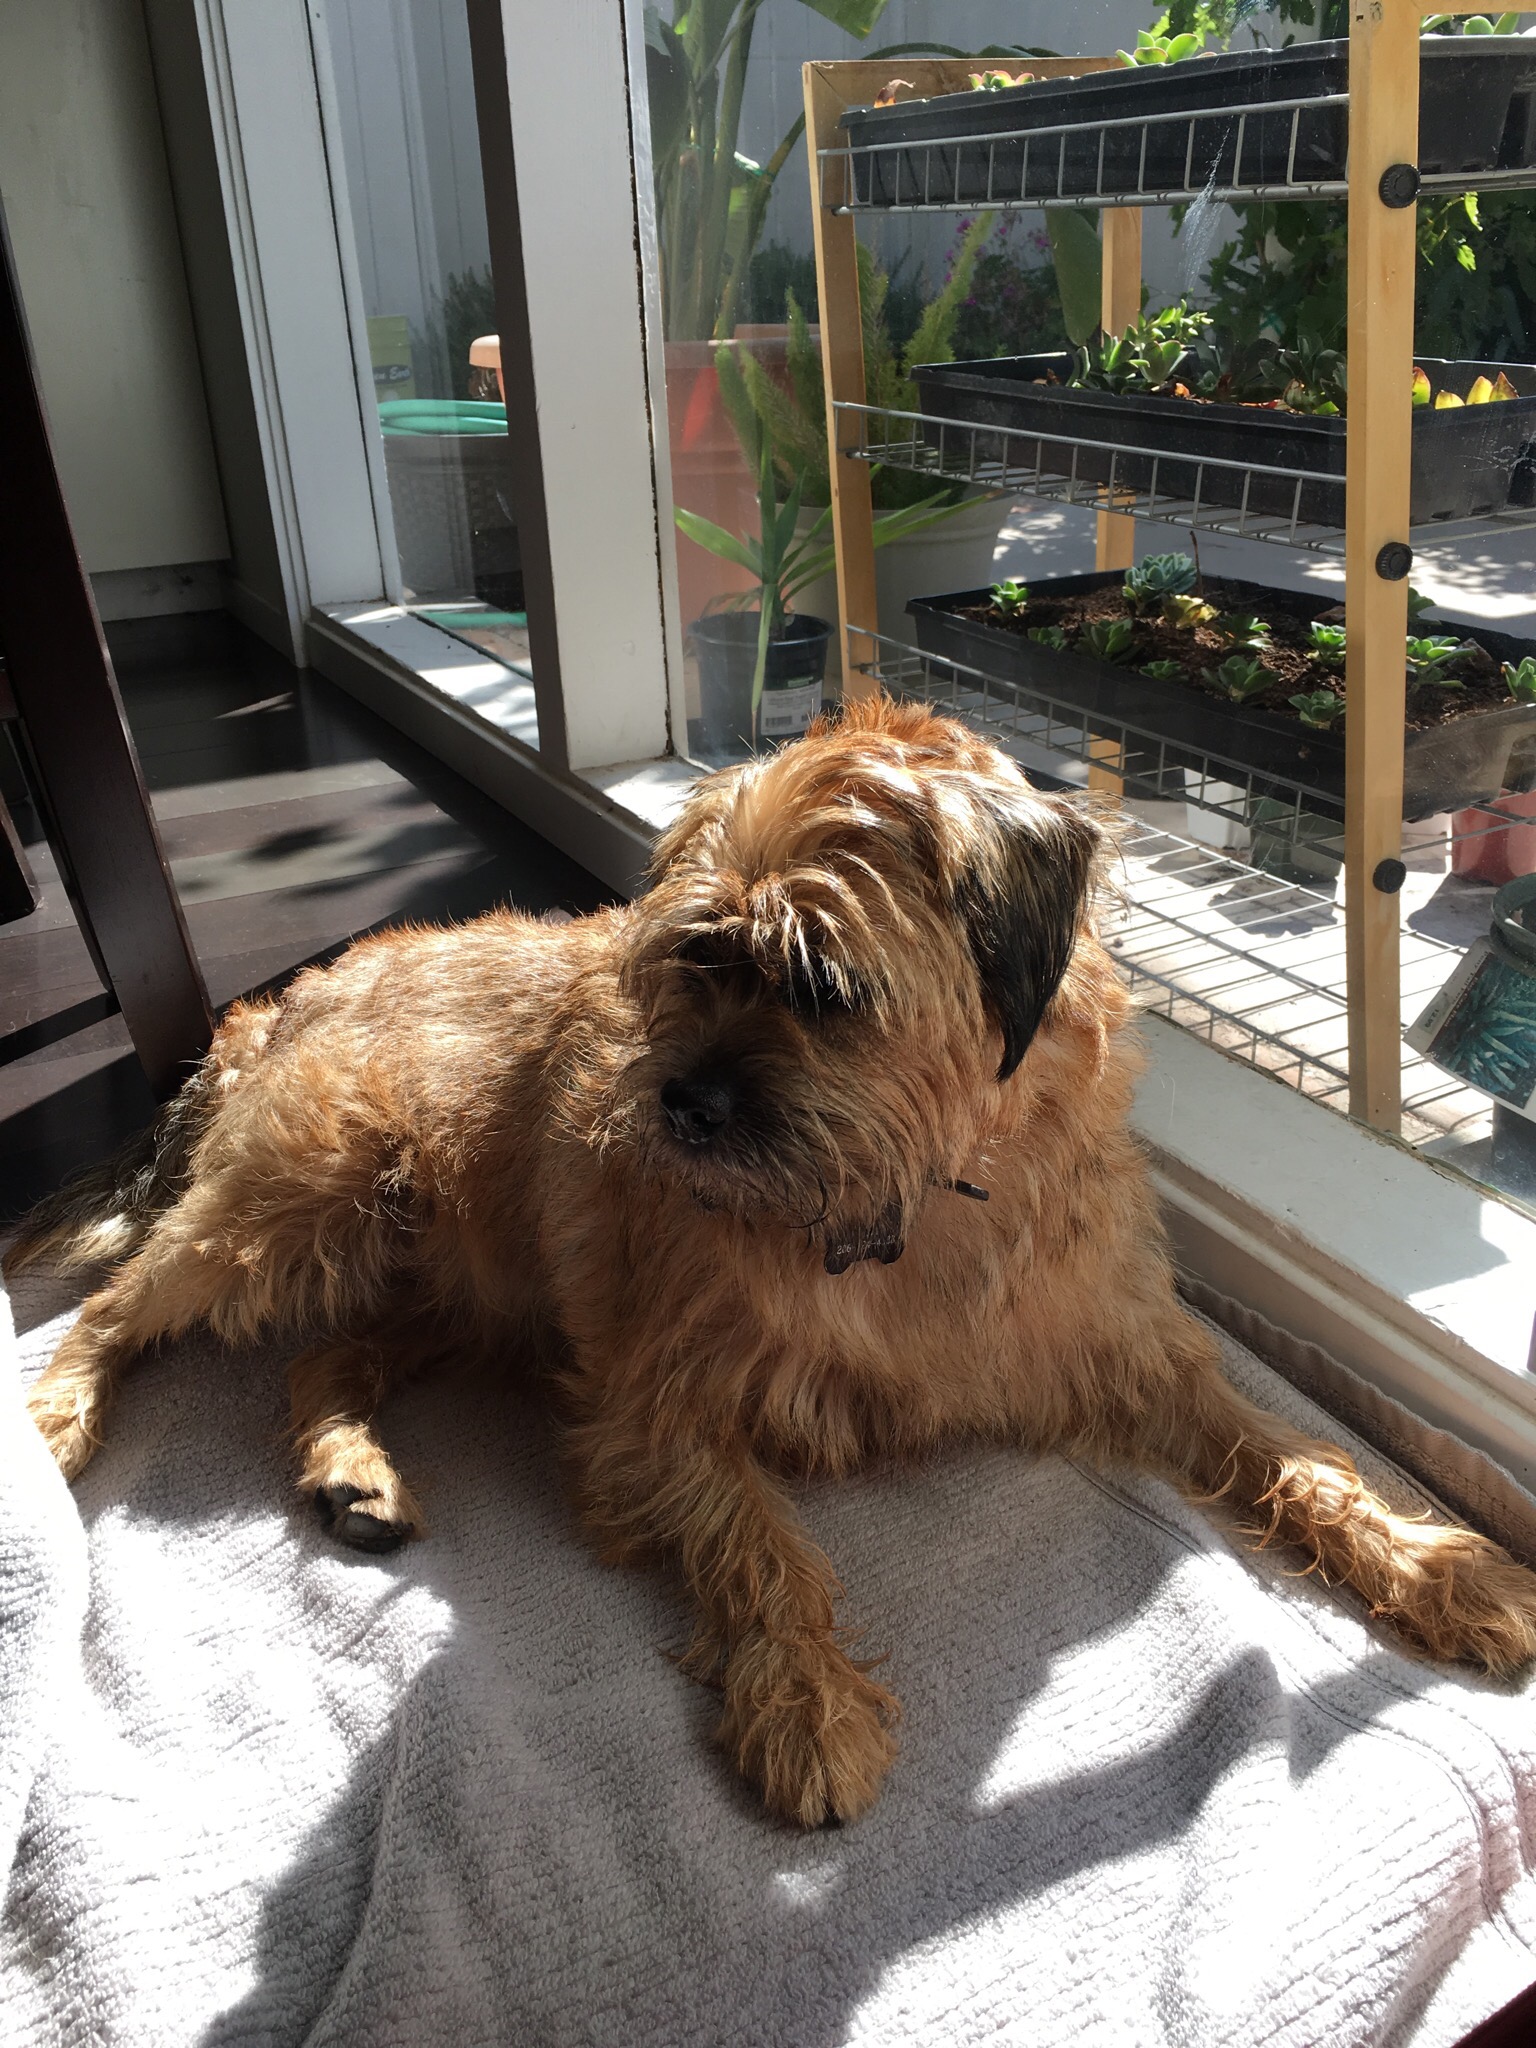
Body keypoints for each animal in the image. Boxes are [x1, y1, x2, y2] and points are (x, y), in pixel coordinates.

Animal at [13, 696, 1536, 1826]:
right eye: (694, 960)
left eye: (820, 984)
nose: (680, 1103)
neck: (912, 1200)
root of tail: (283, 997)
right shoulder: (654, 1405)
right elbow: (760, 1543)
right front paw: (806, 1702)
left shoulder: (1129, 1347)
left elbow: (1295, 1451)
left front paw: (1436, 1566)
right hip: (296, 1197)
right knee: (114, 1305)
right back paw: (56, 1417)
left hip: (451, 1291)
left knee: (323, 1358)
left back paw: (354, 1470)